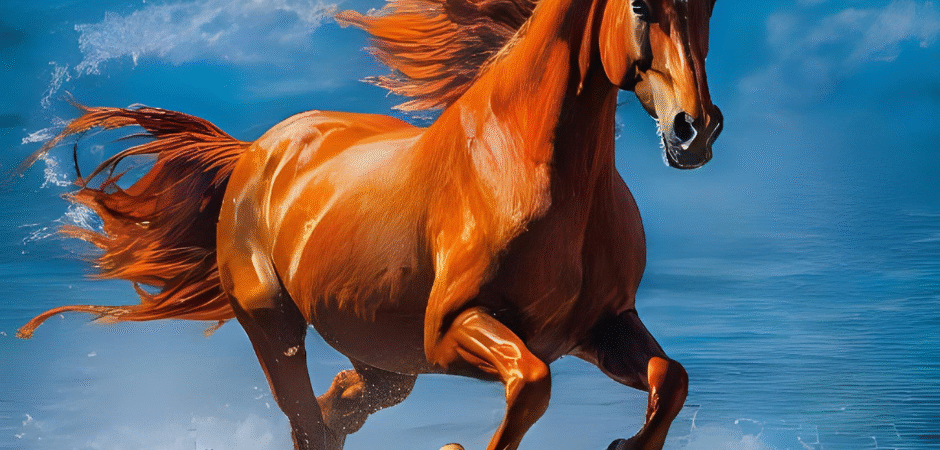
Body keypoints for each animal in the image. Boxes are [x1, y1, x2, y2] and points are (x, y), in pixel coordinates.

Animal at [18, 0, 722, 448]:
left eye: (709, 4)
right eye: (640, 5)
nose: (695, 130)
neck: (529, 165)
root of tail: (253, 151)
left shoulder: (601, 327)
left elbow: (670, 379)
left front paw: (625, 445)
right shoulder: (452, 330)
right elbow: (531, 385)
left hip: (385, 354)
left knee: (339, 409)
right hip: (274, 324)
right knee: (306, 421)